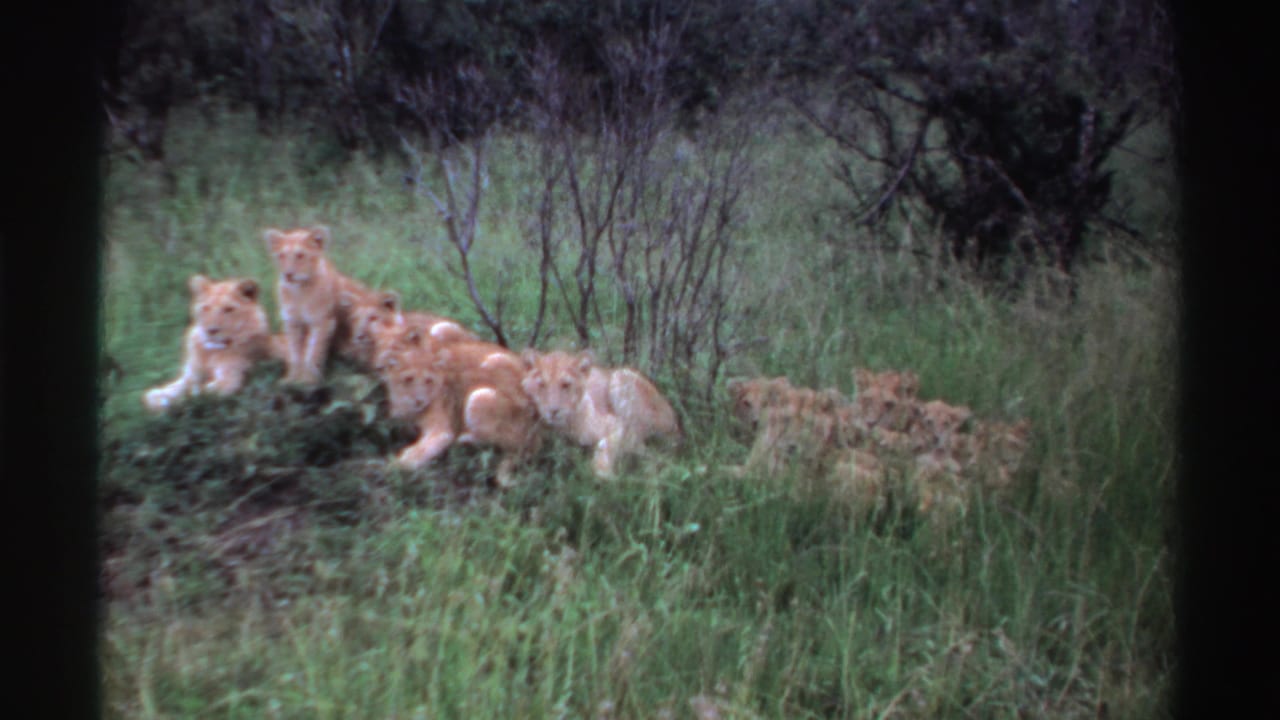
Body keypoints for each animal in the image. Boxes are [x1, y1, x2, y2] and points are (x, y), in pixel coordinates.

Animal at [143, 275, 284, 412]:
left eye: (228, 309)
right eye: (206, 308)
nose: (211, 330)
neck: (210, 352)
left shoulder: (229, 381)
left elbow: (195, 394)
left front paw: (170, 403)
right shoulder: (191, 375)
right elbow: (177, 388)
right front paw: (156, 396)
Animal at [265, 225, 375, 384]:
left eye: (300, 255)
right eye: (281, 256)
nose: (288, 274)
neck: (299, 291)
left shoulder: (323, 321)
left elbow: (312, 352)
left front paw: (308, 380)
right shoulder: (292, 322)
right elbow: (295, 352)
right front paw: (292, 379)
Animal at [381, 331, 540, 487]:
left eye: (428, 381)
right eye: (408, 379)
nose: (420, 400)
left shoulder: (441, 431)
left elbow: (421, 451)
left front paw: (393, 466)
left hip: (479, 397)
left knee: (512, 446)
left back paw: (465, 438)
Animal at [521, 350, 682, 479]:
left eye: (566, 385)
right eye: (541, 385)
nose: (553, 411)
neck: (564, 426)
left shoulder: (618, 425)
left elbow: (606, 444)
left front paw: (603, 472)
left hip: (620, 377)